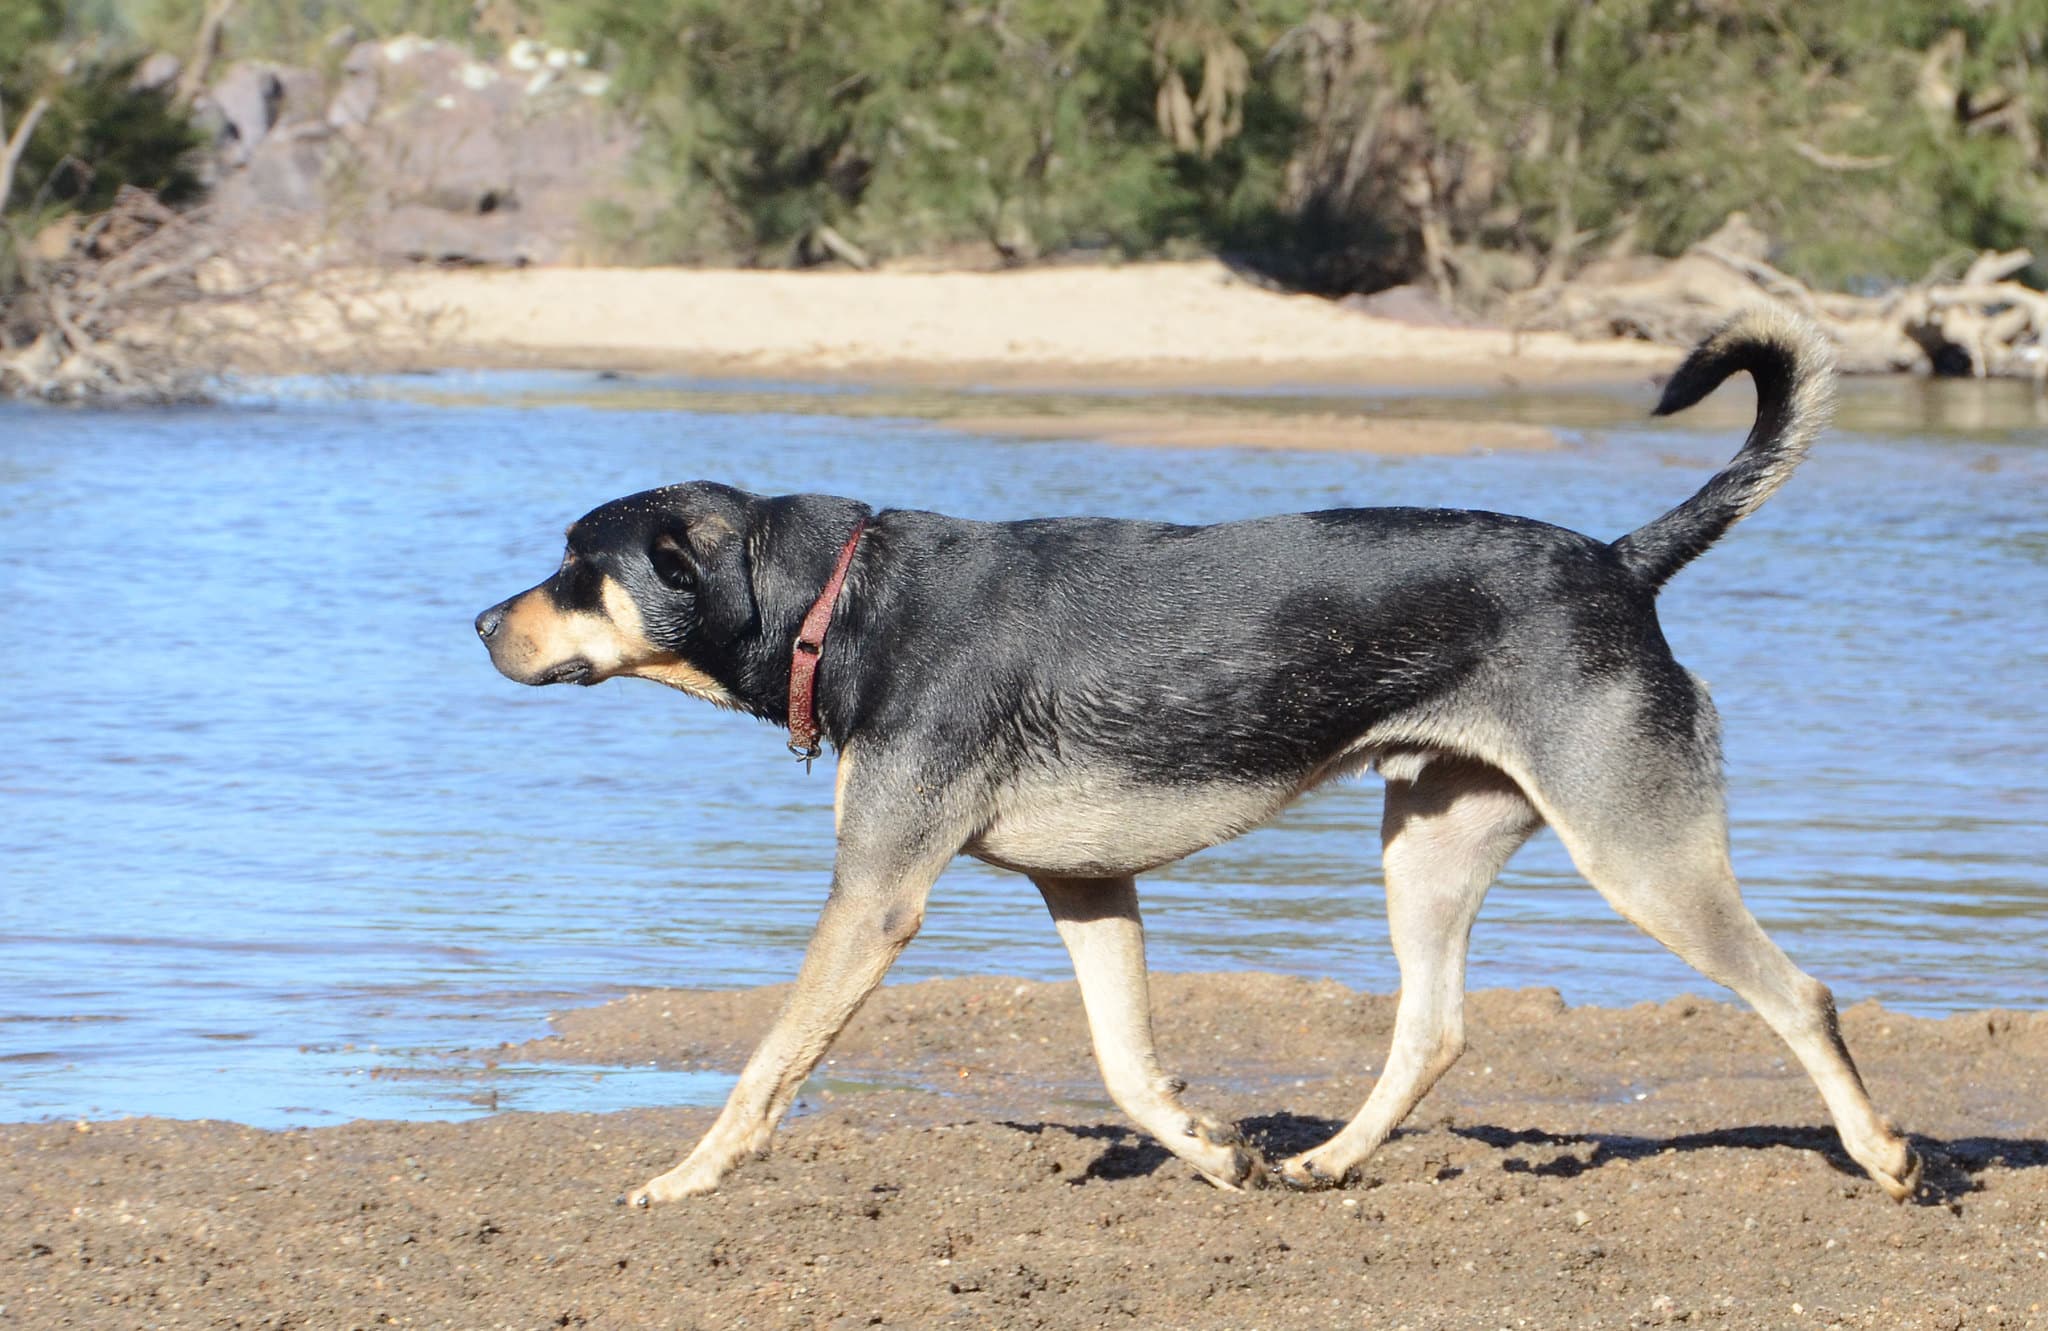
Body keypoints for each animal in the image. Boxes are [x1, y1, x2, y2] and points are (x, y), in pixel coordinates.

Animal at [479, 311, 1916, 1204]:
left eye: (575, 564)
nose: (480, 623)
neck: (845, 595)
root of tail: (1620, 563)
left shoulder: (877, 896)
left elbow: (768, 1061)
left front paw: (683, 1178)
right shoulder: (1086, 885)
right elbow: (1126, 1060)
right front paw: (1216, 1152)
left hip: (1635, 848)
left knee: (1801, 994)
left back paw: (1889, 1157)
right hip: (1430, 844)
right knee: (1434, 1025)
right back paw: (1326, 1162)